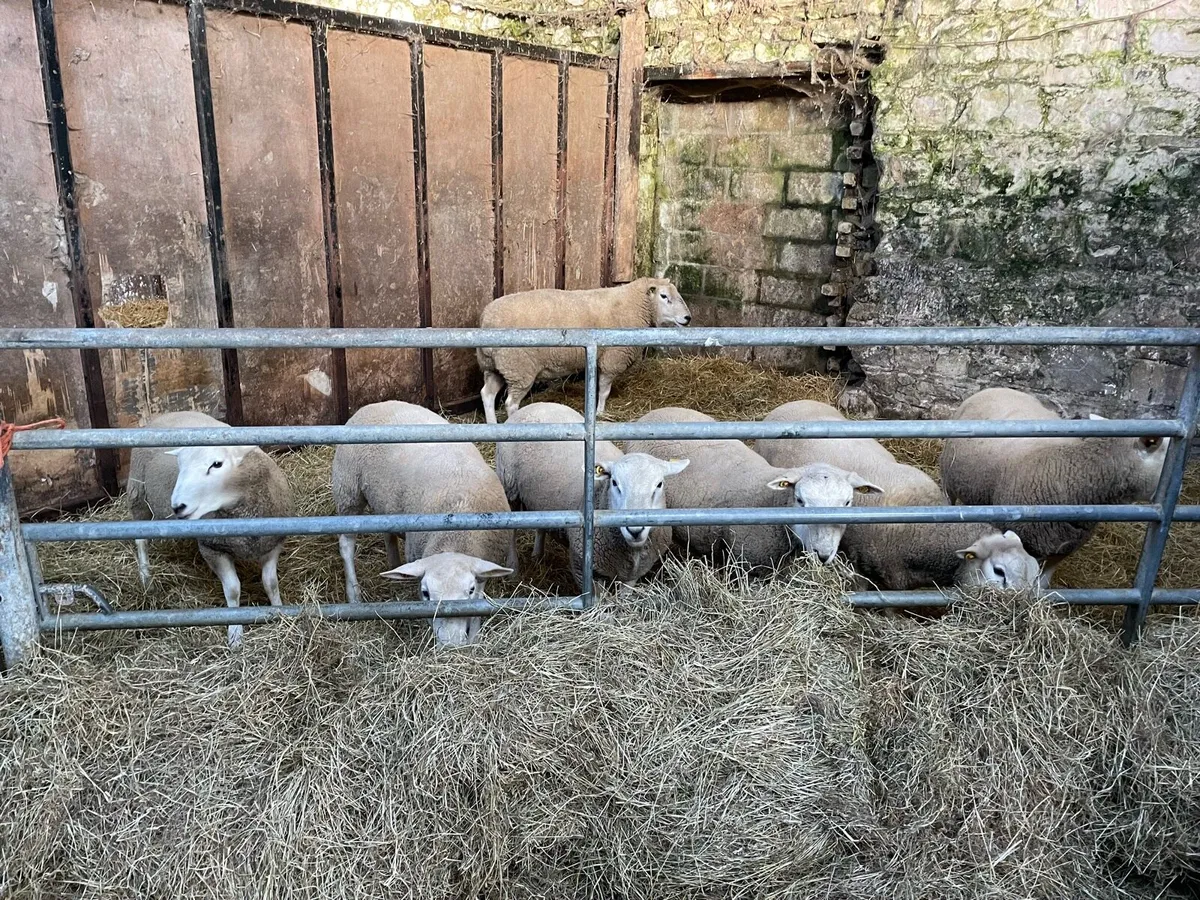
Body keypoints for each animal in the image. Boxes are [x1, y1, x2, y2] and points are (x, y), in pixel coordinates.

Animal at [128, 410, 295, 648]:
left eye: (216, 464)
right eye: (180, 467)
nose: (177, 506)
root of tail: (170, 413)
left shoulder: (271, 544)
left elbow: (270, 583)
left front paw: (279, 611)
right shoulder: (213, 548)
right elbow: (233, 590)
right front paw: (235, 633)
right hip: (138, 497)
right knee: (141, 541)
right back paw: (146, 579)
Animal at [332, 401, 516, 647]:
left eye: (469, 590)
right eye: (426, 593)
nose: (451, 644)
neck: (455, 529)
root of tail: (375, 404)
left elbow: (478, 608)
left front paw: (473, 639)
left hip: (384, 503)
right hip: (348, 491)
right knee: (346, 544)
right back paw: (354, 596)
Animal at [476, 277, 692, 424]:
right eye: (664, 296)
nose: (688, 318)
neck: (633, 304)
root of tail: (486, 319)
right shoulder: (612, 359)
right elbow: (604, 390)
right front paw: (600, 413)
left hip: (496, 366)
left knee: (487, 394)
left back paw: (492, 425)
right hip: (519, 368)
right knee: (510, 403)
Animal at [495, 402, 689, 589]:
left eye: (659, 484)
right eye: (615, 483)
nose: (635, 530)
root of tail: (533, 405)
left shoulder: (634, 574)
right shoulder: (584, 568)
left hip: (540, 499)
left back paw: (537, 555)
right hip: (509, 488)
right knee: (511, 532)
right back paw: (513, 571)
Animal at [624, 406, 880, 568]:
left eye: (847, 502)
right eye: (800, 500)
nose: (823, 555)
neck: (771, 503)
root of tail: (650, 414)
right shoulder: (746, 560)